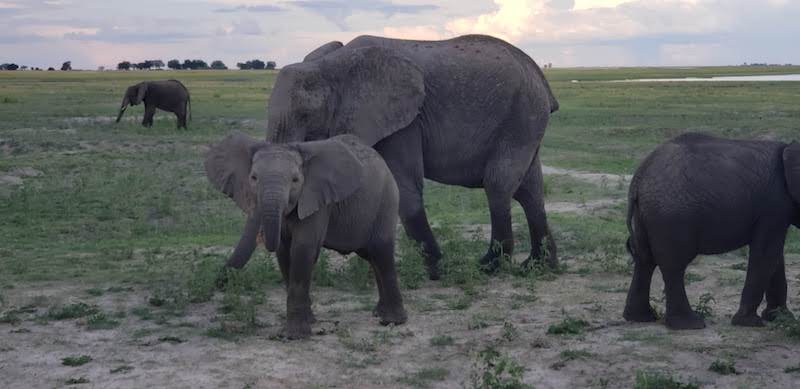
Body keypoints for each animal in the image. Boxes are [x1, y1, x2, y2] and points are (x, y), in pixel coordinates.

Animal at [203, 132, 410, 338]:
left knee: (380, 251)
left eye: (295, 180)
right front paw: (309, 322)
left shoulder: (317, 199)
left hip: (387, 200)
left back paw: (391, 321)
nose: (262, 237)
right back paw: (379, 313)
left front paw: (294, 335)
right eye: (253, 178)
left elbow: (302, 248)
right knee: (370, 256)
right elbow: (284, 252)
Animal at [266, 34, 560, 278]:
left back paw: (488, 266)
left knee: (498, 185)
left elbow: (405, 189)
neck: (331, 64)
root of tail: (540, 78)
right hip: (525, 120)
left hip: (521, 116)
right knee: (530, 191)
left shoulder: (404, 122)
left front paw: (440, 272)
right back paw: (539, 266)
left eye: (306, 115)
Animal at [628, 133, 796, 328]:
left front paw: (781, 318)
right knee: (673, 265)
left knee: (645, 260)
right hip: (670, 217)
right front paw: (750, 323)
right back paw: (689, 325)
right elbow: (767, 254)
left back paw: (640, 318)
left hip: (646, 215)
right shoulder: (773, 207)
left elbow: (775, 256)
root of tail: (638, 178)